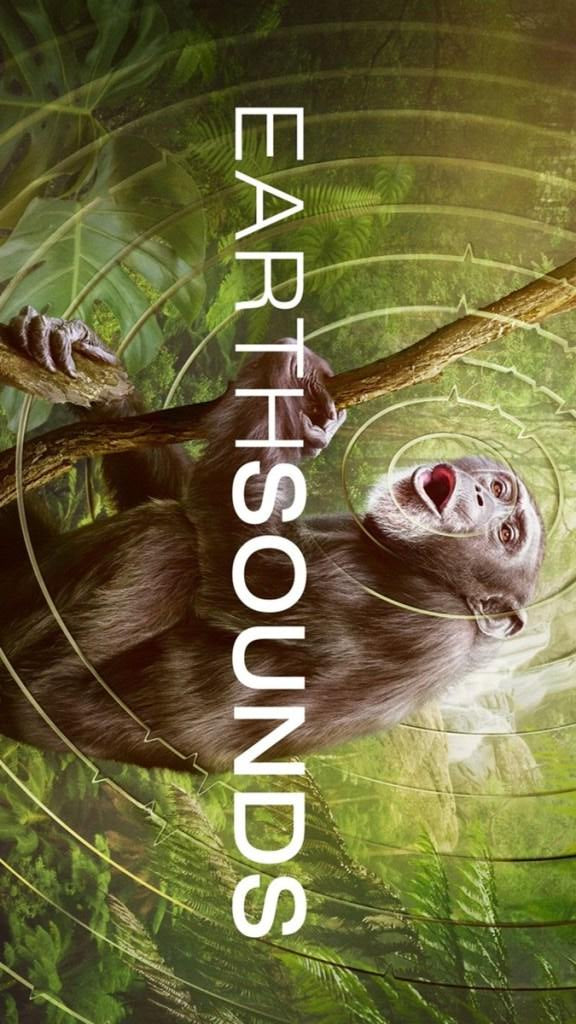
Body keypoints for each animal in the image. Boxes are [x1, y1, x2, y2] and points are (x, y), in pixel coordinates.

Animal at [0, 308, 545, 772]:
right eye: (501, 491)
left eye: (507, 534)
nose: (482, 494)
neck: (430, 571)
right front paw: (81, 348)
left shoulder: (400, 614)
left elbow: (240, 556)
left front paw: (288, 373)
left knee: (166, 540)